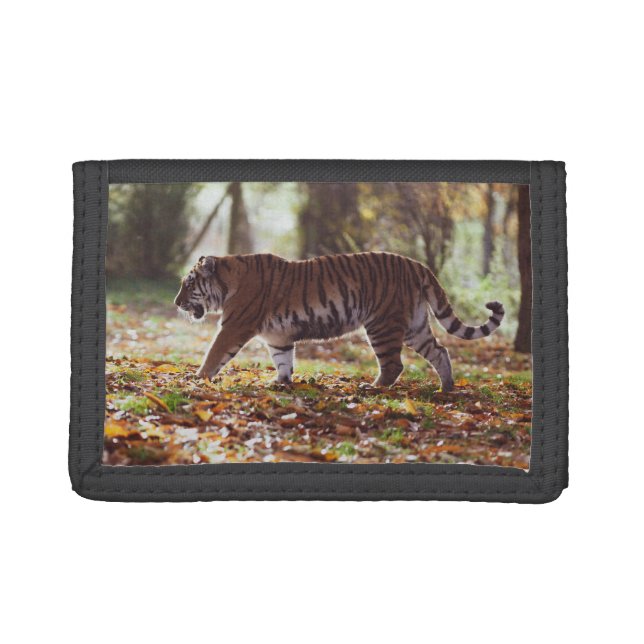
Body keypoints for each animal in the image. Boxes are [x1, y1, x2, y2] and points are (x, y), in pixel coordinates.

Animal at [174, 252, 505, 391]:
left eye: (188, 284)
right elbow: (283, 360)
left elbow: (214, 353)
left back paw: (373, 388)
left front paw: (198, 378)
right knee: (440, 351)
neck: (229, 280)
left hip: (382, 324)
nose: (176, 303)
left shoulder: (234, 327)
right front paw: (280, 383)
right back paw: (446, 388)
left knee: (394, 365)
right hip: (415, 327)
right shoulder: (278, 337)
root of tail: (417, 265)